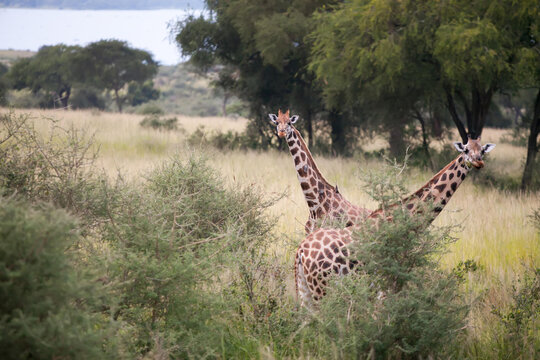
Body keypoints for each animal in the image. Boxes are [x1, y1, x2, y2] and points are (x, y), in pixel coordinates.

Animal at [294, 137, 496, 306]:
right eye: (466, 150)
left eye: (482, 150)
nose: (478, 162)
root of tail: (301, 251)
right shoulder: (386, 282)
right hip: (323, 289)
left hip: (305, 290)